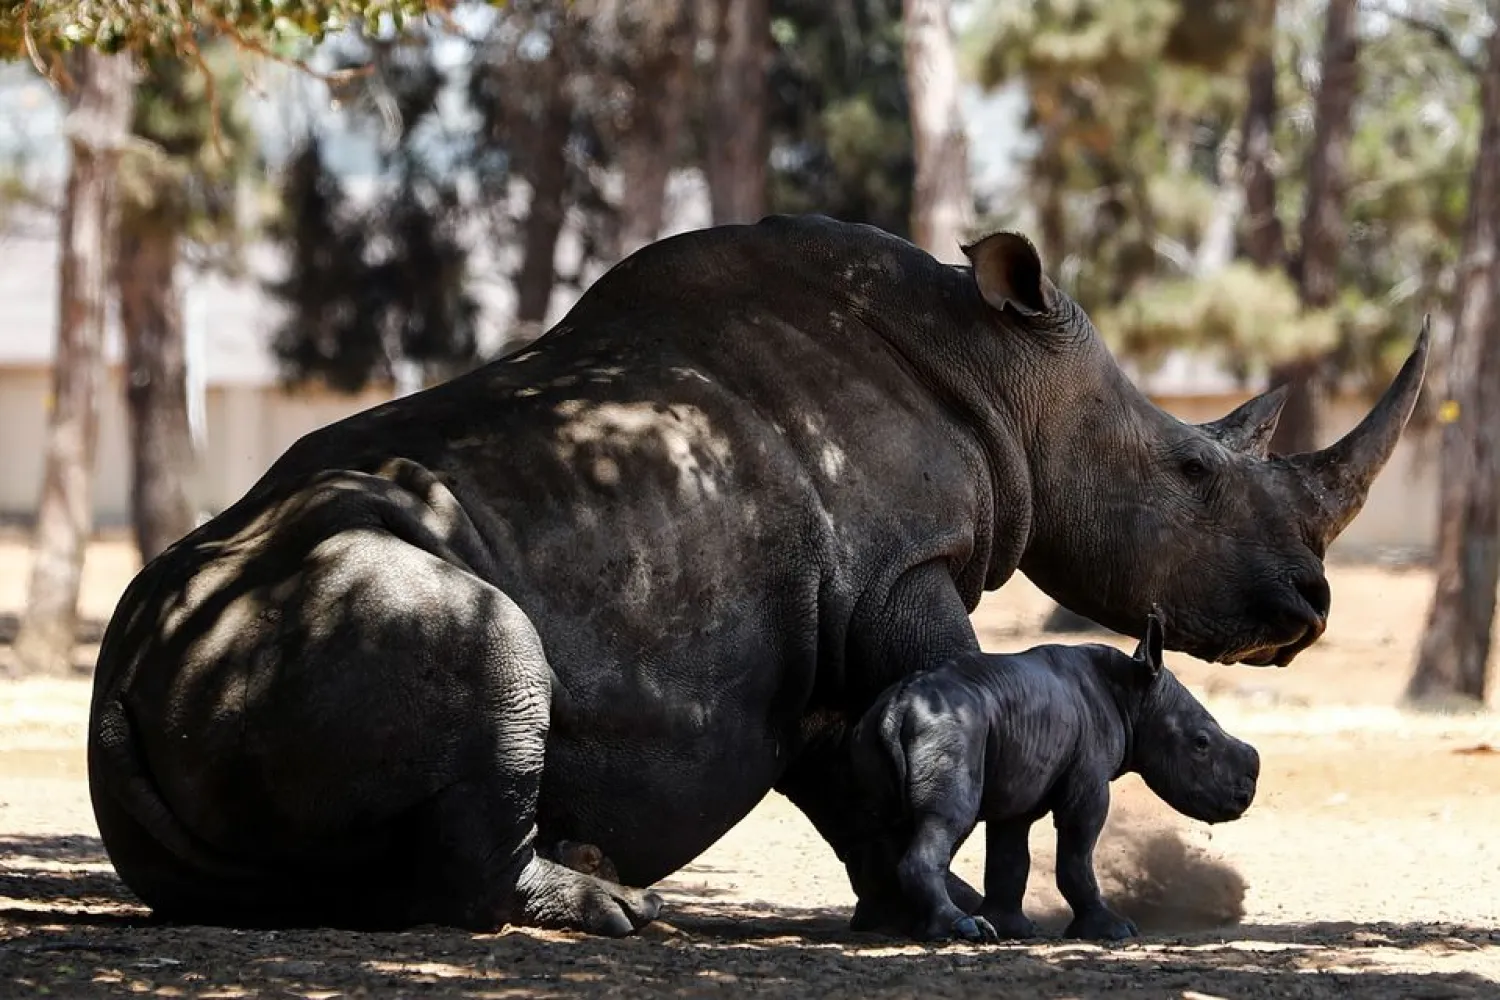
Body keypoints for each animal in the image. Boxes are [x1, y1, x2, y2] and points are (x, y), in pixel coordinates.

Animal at [844, 609, 1258, 943]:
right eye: (1201, 743)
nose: (1244, 796)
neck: (1132, 694)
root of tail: (899, 705)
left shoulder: (1020, 784)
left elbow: (1010, 858)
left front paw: (1014, 929)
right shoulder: (1088, 782)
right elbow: (1076, 852)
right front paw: (1115, 931)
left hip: (874, 733)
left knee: (877, 825)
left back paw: (891, 925)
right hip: (950, 729)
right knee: (948, 818)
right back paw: (961, 929)